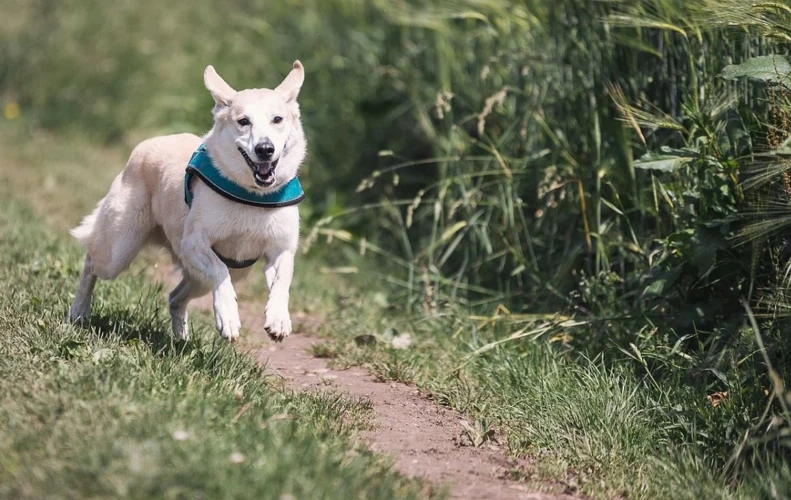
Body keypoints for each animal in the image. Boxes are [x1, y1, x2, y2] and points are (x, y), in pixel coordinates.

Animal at [66, 60, 308, 342]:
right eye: (243, 121)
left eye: (277, 119)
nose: (265, 149)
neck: (252, 196)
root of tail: (147, 144)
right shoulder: (194, 243)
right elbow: (219, 270)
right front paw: (228, 317)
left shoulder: (281, 249)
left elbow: (282, 281)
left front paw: (279, 319)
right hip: (119, 250)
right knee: (91, 263)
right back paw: (78, 312)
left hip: (209, 277)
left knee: (175, 297)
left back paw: (181, 339)